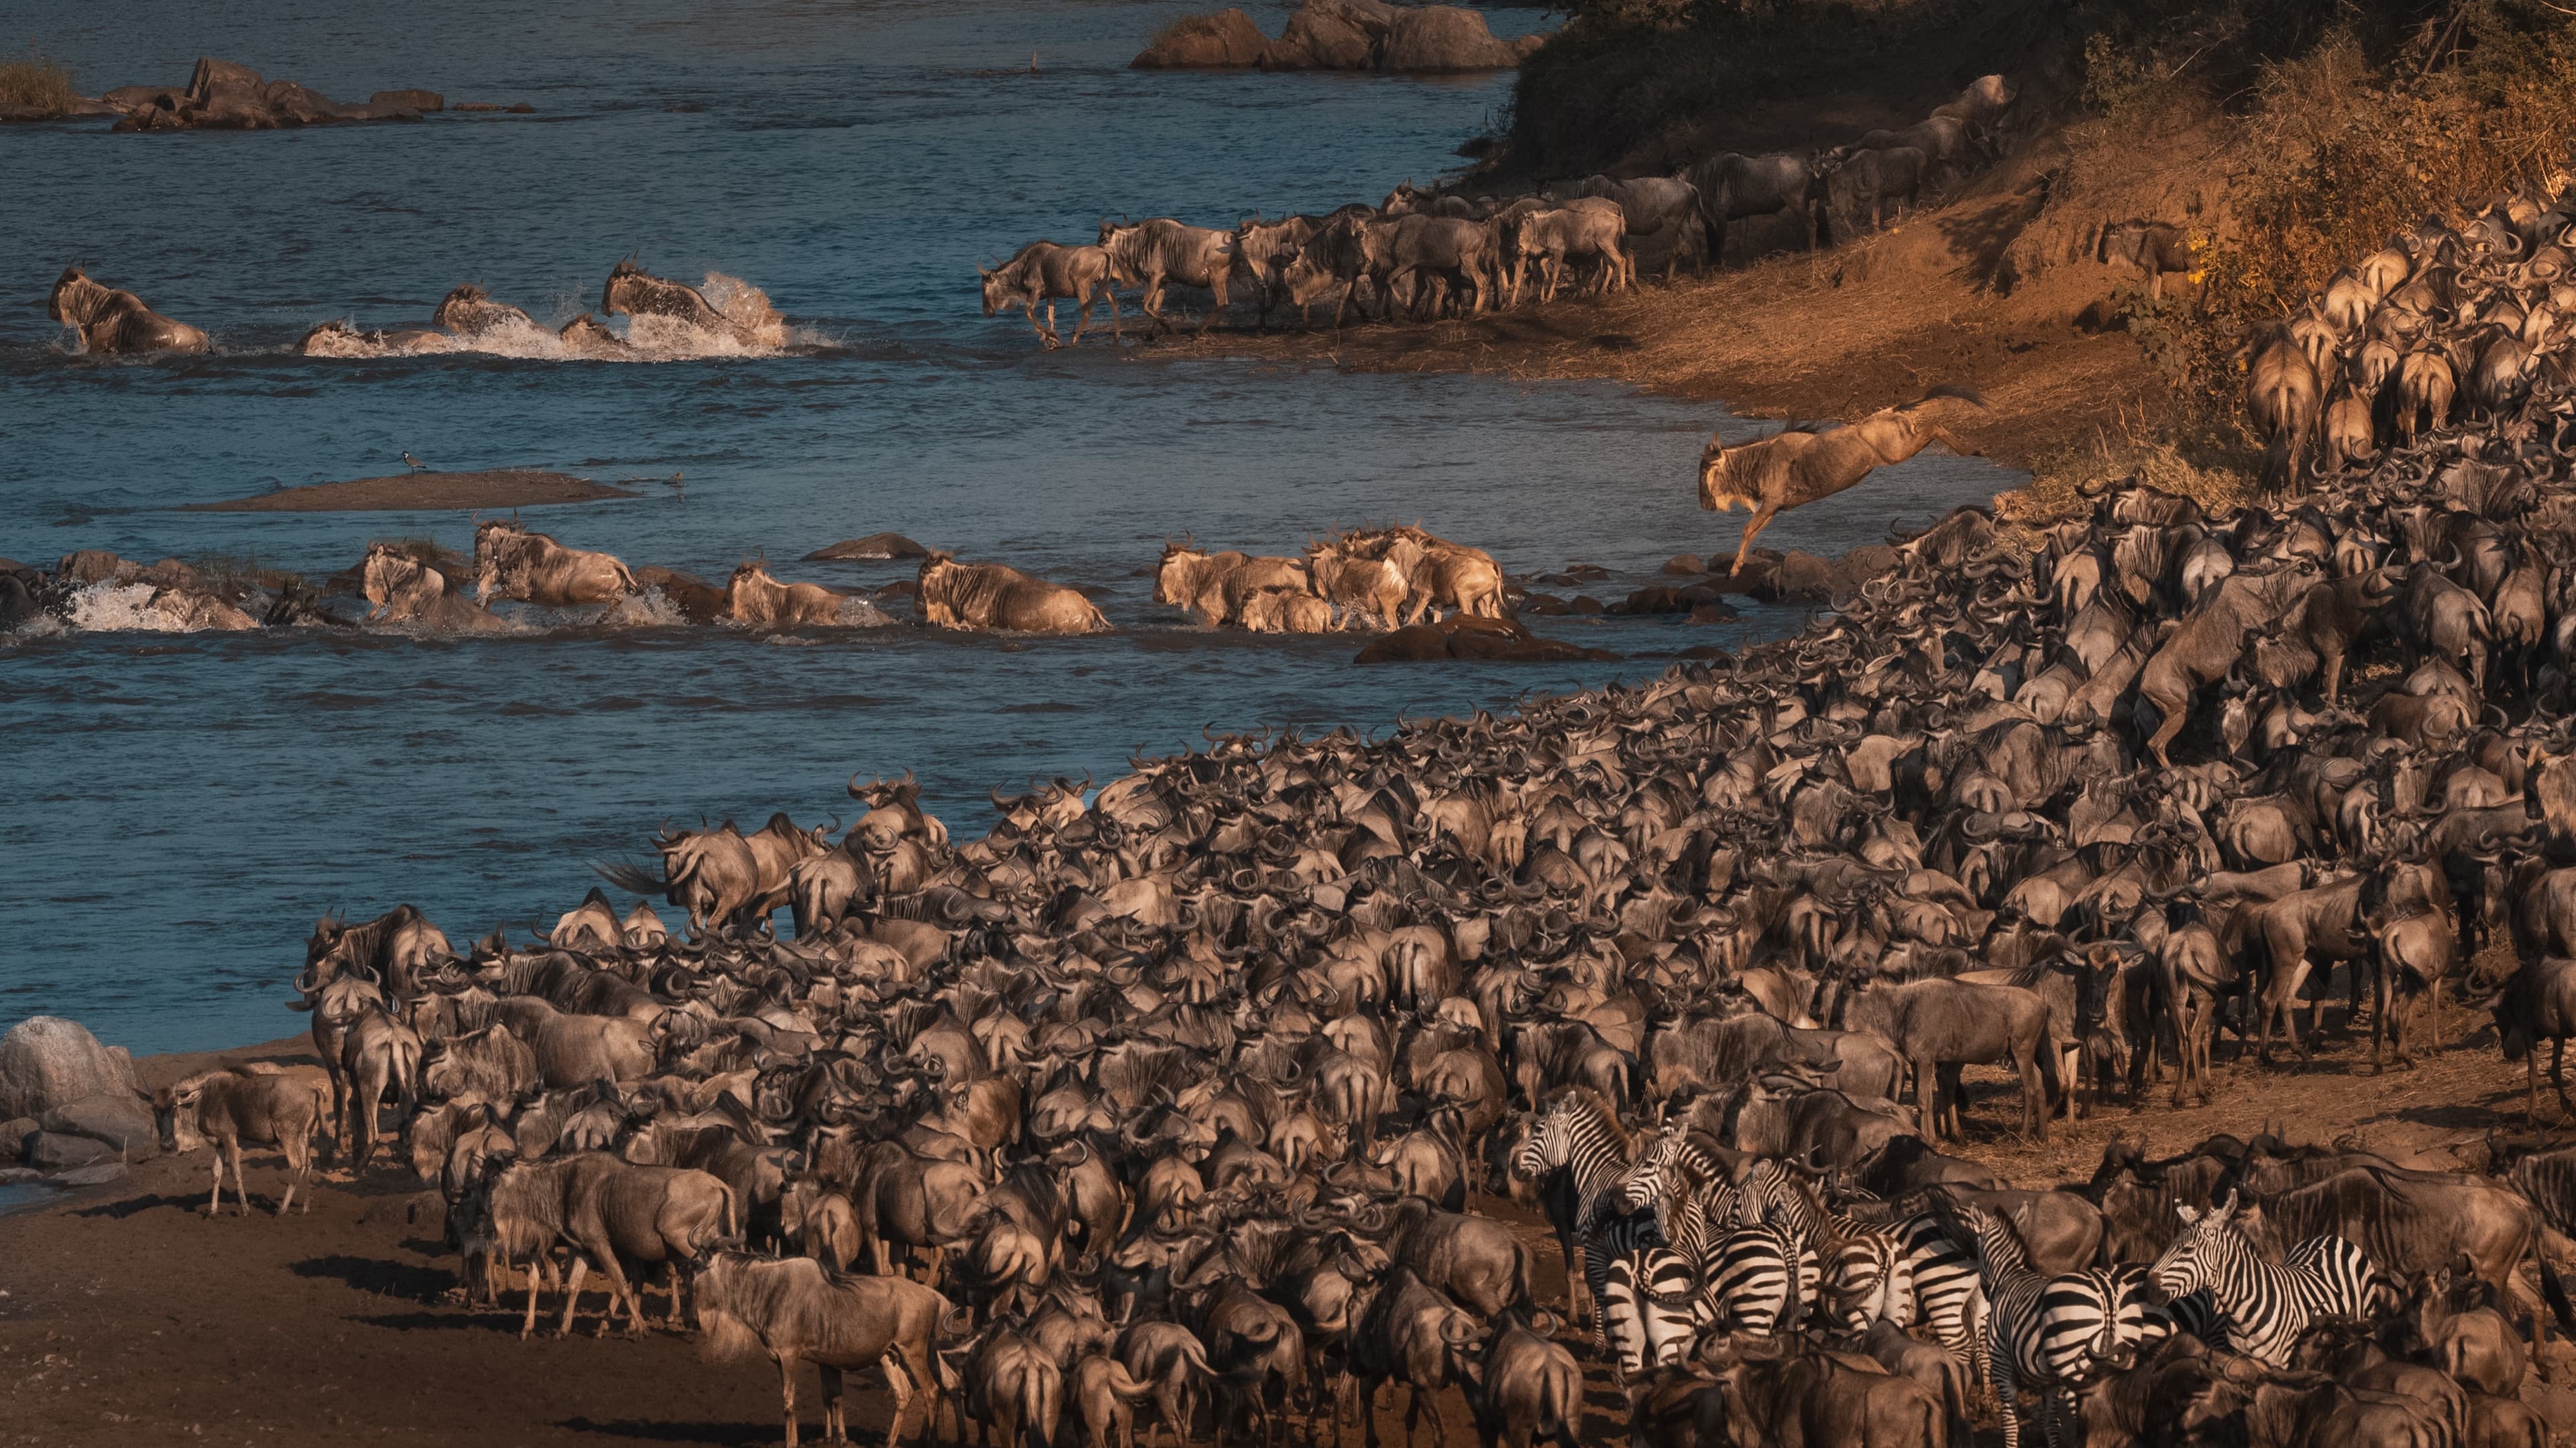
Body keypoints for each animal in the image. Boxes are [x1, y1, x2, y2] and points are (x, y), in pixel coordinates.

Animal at [2147, 1190, 2388, 1366]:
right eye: (2170, 1245)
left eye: (2187, 1250)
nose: (2147, 1288)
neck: (2242, 1313)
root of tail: (2332, 1237)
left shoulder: (2281, 1364)